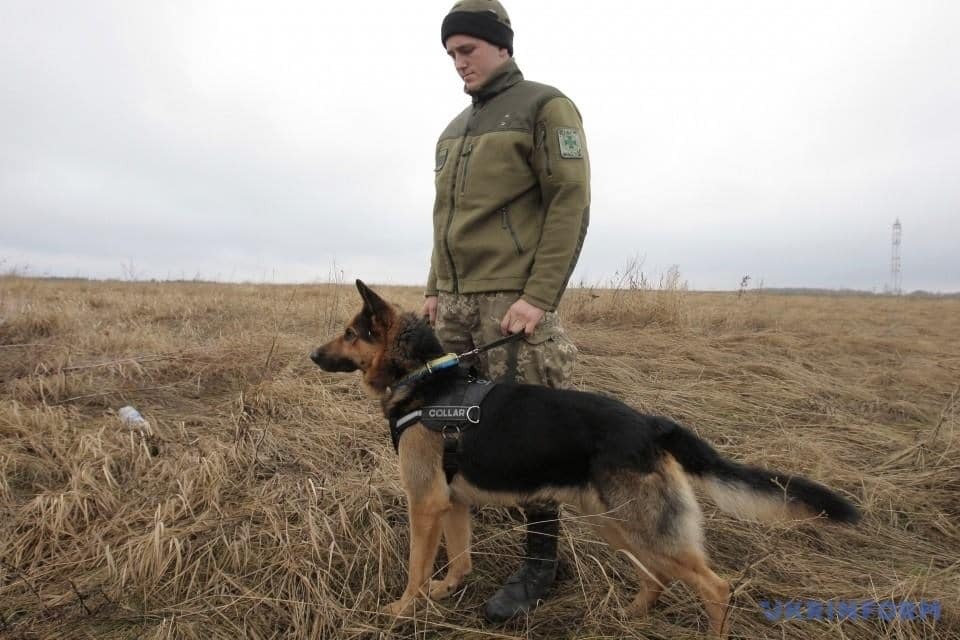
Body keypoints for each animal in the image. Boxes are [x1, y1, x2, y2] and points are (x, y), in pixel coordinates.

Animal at [312, 282, 860, 636]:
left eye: (350, 333)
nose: (313, 356)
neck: (427, 381)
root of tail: (651, 423)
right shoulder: (452, 504)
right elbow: (460, 561)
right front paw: (444, 592)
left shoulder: (424, 505)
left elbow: (415, 569)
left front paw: (404, 609)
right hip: (613, 521)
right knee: (657, 574)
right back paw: (631, 616)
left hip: (640, 525)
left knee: (716, 586)